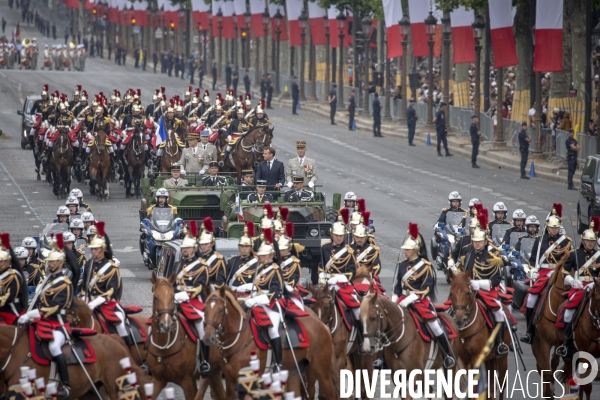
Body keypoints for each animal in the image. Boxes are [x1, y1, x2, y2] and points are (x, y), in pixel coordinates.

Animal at [147, 272, 225, 400]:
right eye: (155, 297)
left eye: (173, 297)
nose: (166, 324)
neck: (165, 345)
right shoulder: (158, 379)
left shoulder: (188, 381)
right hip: (213, 372)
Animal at [199, 286, 336, 398]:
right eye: (205, 309)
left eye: (221, 310)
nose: (208, 338)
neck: (239, 337)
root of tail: (321, 323)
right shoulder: (230, 380)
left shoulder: (251, 381)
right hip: (295, 372)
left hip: (322, 372)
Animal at [448, 270, 508, 398]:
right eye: (451, 293)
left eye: (467, 293)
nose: (459, 320)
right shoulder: (463, 359)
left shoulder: (476, 358)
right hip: (490, 359)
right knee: (491, 387)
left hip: (502, 359)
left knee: (500, 385)